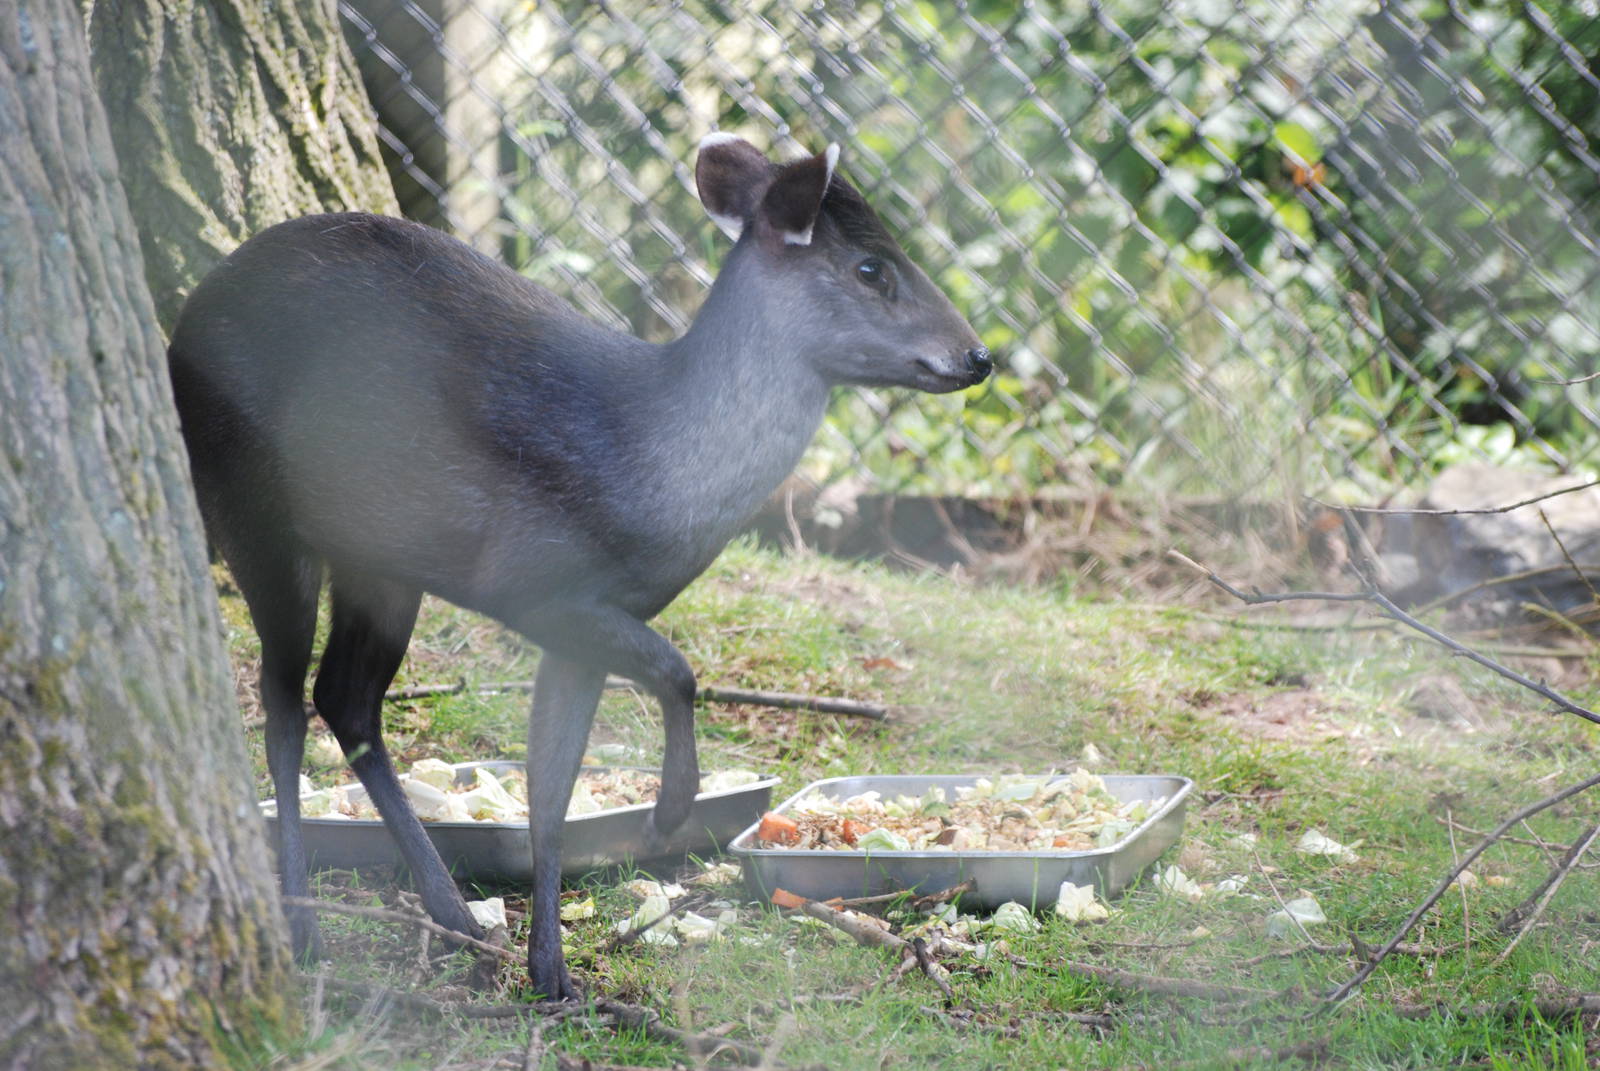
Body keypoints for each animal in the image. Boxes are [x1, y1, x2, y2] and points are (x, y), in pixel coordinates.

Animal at [166, 134, 991, 999]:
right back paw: (303, 926)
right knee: (282, 703)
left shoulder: (584, 625)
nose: (978, 355)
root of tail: (184, 317)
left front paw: (551, 971)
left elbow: (552, 790)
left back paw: (454, 914)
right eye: (872, 266)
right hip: (252, 506)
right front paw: (670, 808)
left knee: (346, 697)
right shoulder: (533, 584)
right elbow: (677, 671)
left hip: (383, 558)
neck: (653, 463)